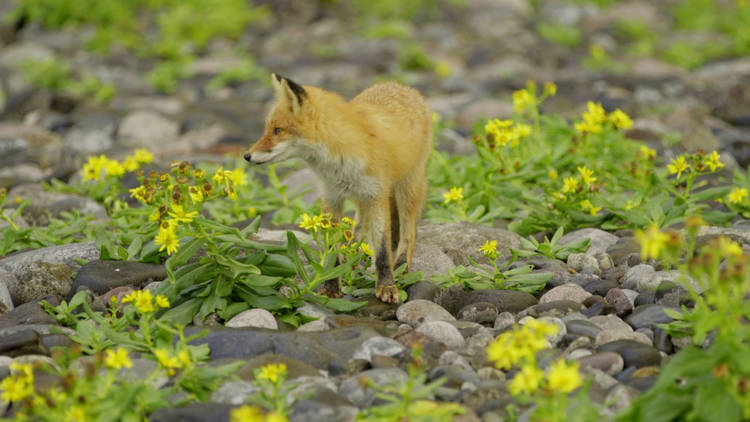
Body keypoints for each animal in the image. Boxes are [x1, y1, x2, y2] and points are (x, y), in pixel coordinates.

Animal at [245, 73, 432, 304]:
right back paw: (353, 258)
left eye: (278, 130)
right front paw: (331, 287)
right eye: (267, 129)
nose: (246, 156)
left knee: (409, 231)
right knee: (360, 227)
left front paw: (387, 286)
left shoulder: (377, 195)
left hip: (407, 187)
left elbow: (382, 251)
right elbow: (331, 250)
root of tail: (400, 85)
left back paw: (401, 267)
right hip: (363, 197)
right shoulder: (331, 196)